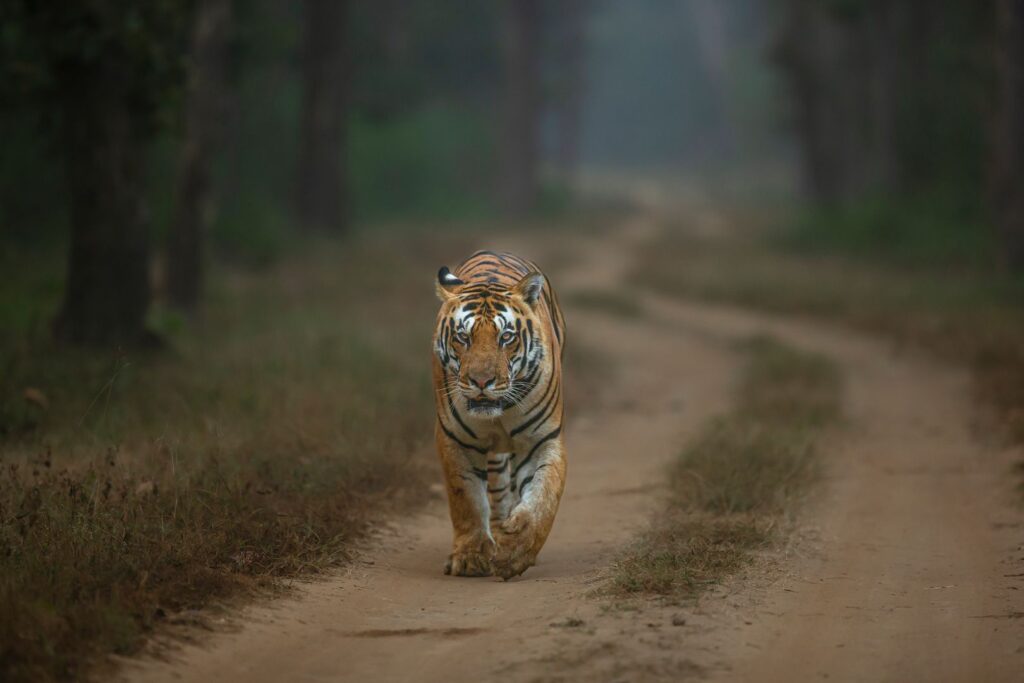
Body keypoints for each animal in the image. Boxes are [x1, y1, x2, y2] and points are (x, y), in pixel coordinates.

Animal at [432, 248, 569, 581]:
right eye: (463, 337)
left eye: (506, 337)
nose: (482, 381)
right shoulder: (456, 441)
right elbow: (466, 500)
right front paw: (470, 557)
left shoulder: (543, 440)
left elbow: (544, 498)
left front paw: (514, 553)